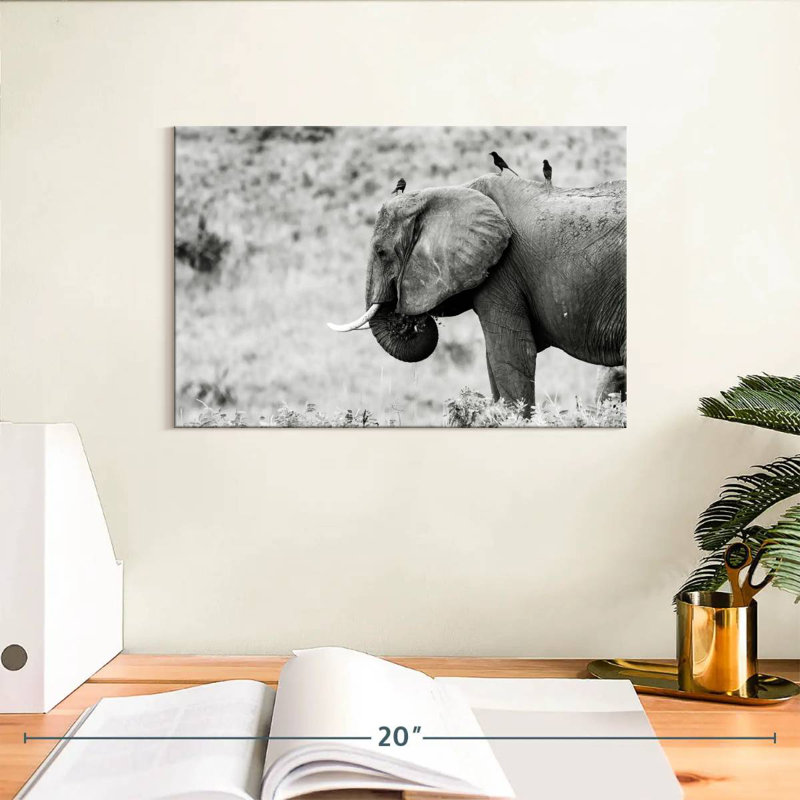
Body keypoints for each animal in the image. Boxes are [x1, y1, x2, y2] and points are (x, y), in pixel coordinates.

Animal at [329, 173, 626, 411]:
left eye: (381, 252)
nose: (406, 319)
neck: (450, 191)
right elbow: (493, 360)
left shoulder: (502, 272)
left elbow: (510, 354)